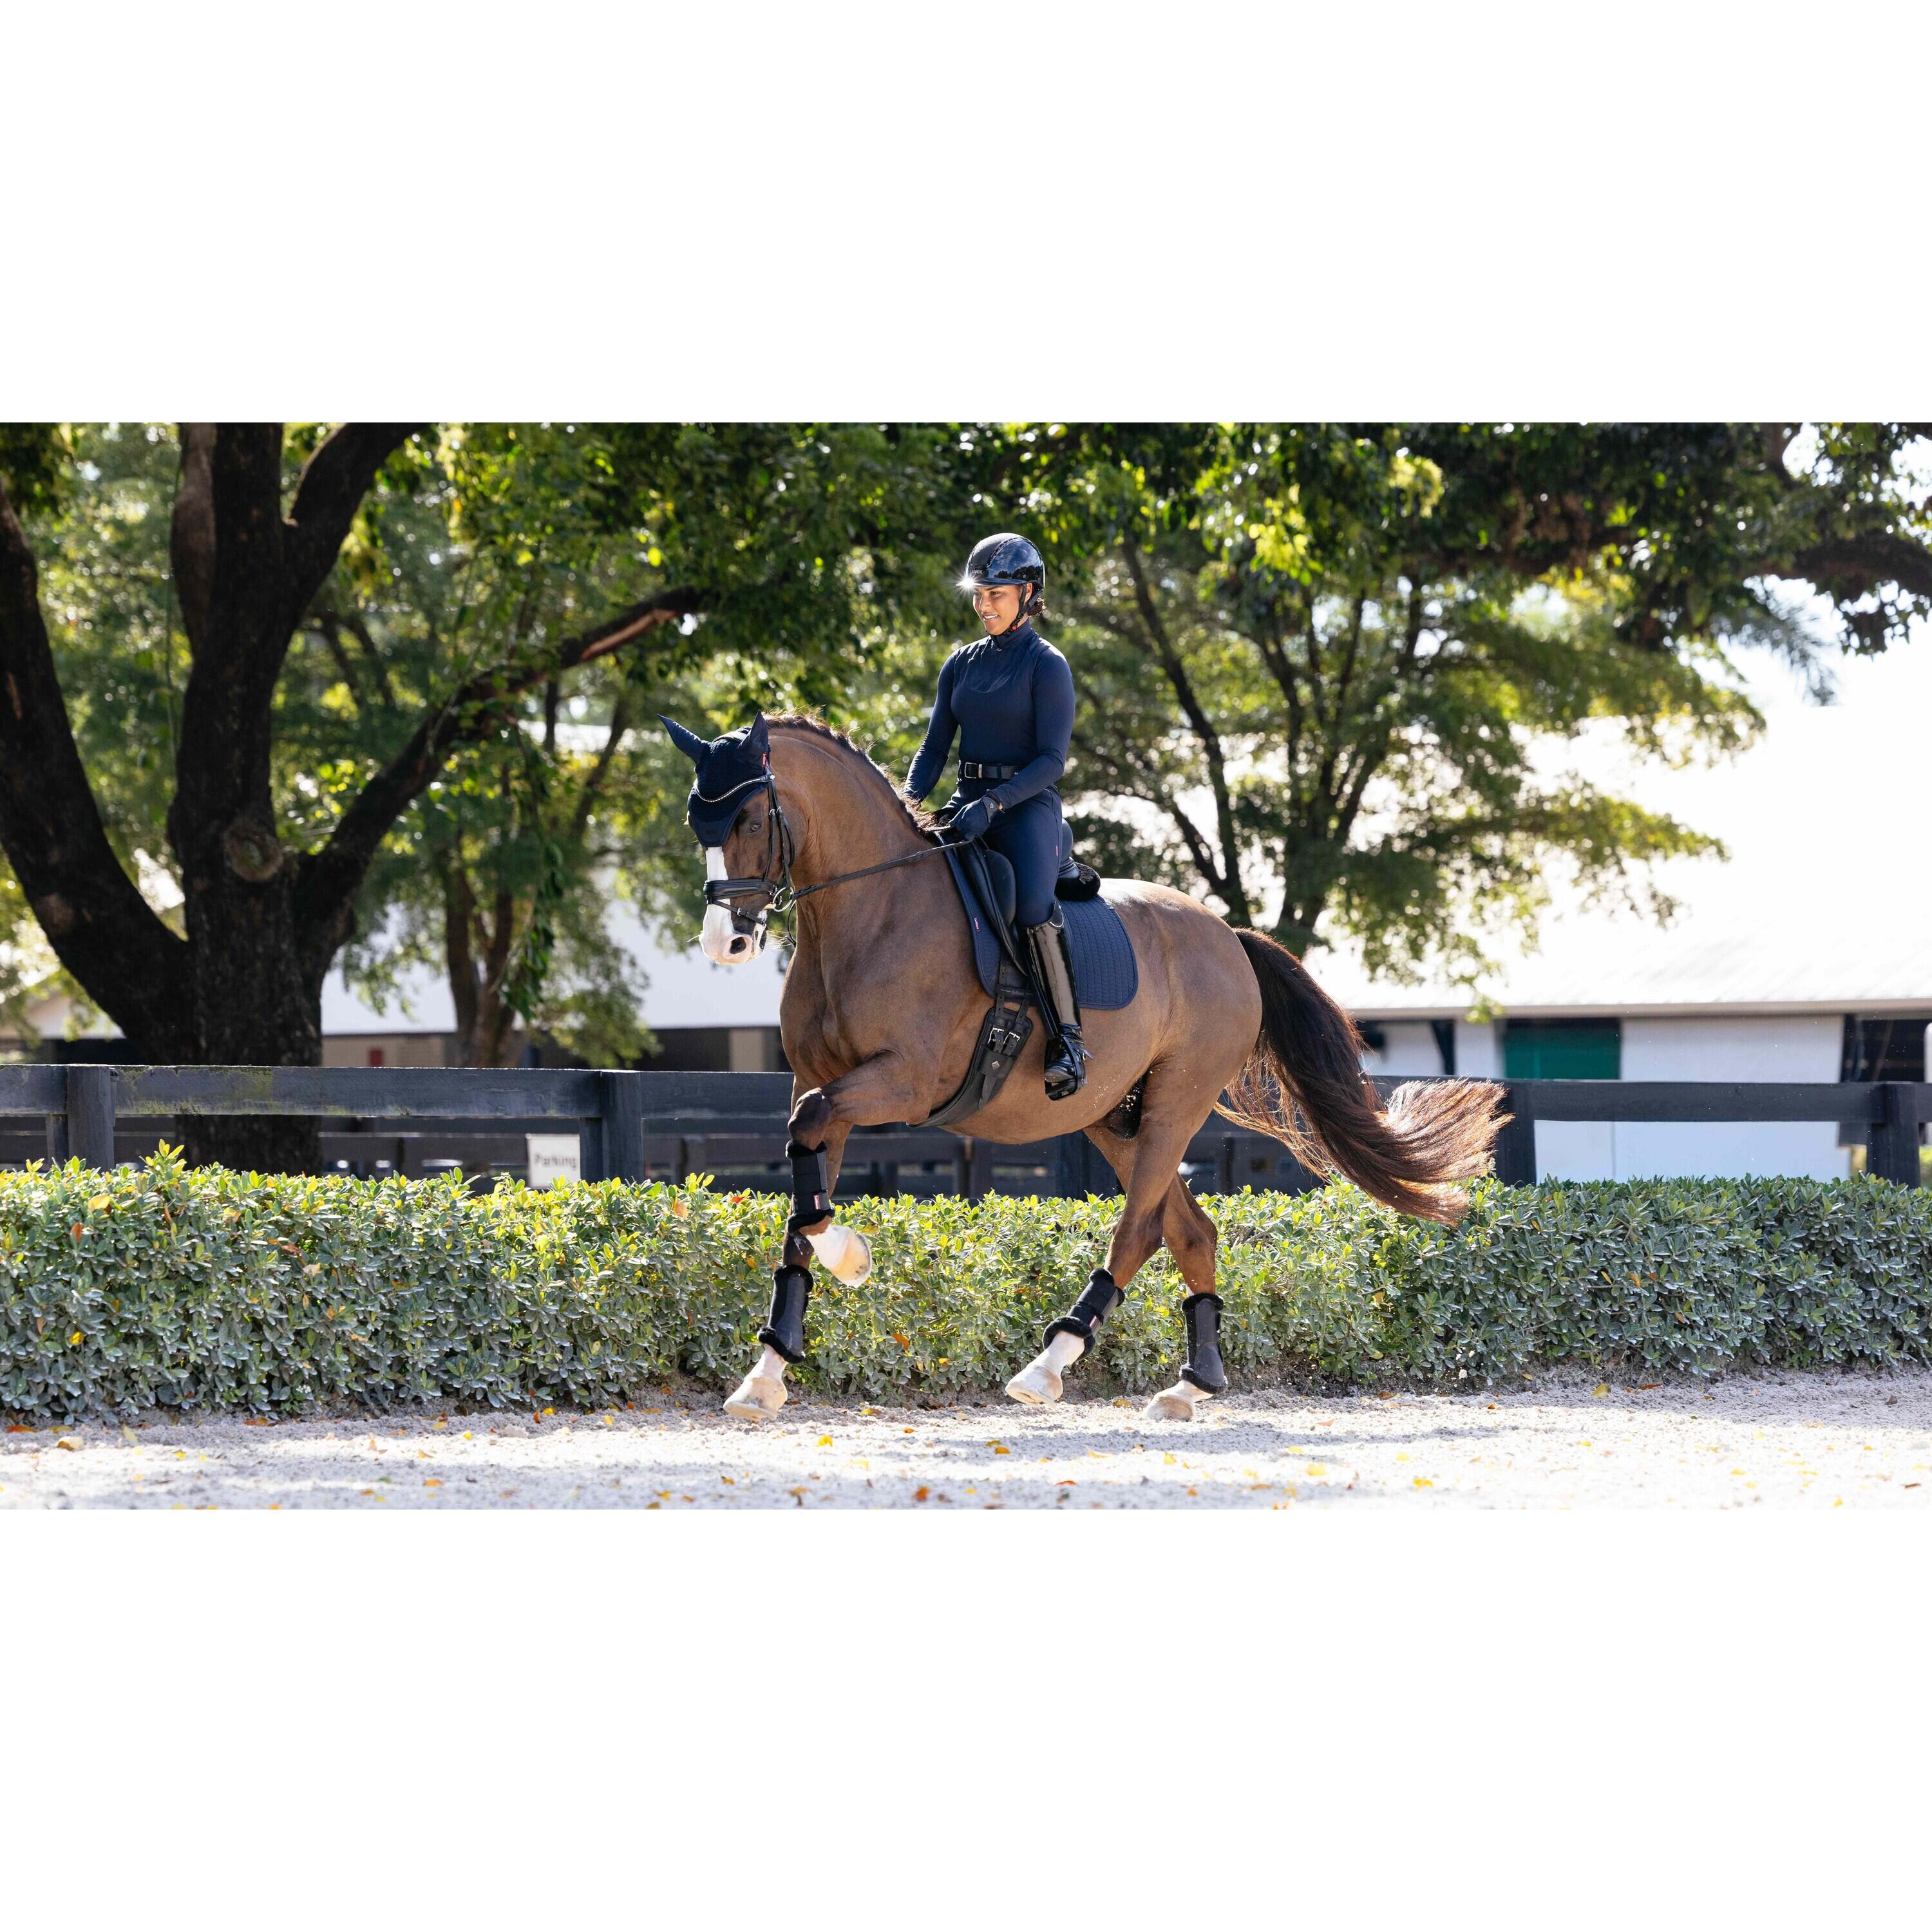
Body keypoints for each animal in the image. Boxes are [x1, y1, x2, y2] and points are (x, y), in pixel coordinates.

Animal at [660, 711, 1507, 1423]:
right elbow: (802, 1206)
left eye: (745, 820)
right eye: (697, 823)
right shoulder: (819, 1081)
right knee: (1191, 1232)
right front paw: (766, 1374)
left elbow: (811, 1180)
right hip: (1110, 1116)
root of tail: (1227, 937)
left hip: (1173, 1106)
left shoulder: (902, 1081)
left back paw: (1048, 1365)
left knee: (1138, 1231)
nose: (723, 944)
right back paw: (1191, 1385)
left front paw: (852, 1259)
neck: (872, 910)